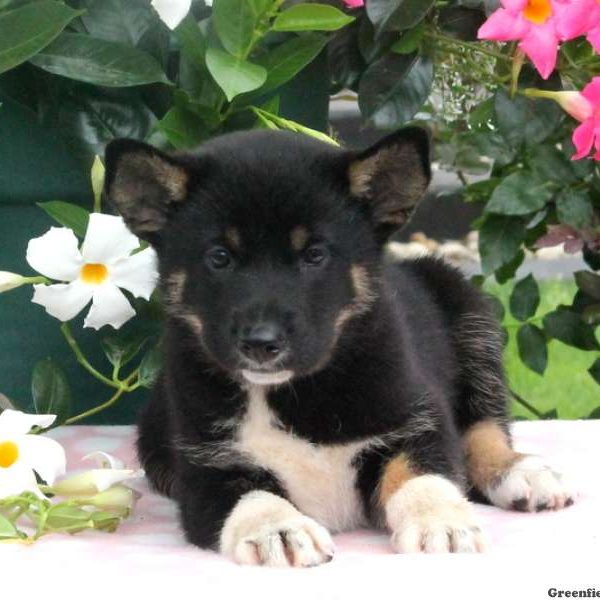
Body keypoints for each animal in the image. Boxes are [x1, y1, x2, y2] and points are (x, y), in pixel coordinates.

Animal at [104, 129, 576, 564]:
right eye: (219, 257)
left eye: (315, 255)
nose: (261, 343)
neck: (294, 394)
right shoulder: (205, 466)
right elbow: (250, 495)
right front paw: (279, 530)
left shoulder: (418, 415)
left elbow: (423, 472)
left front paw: (440, 521)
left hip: (468, 310)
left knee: (484, 422)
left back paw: (520, 472)